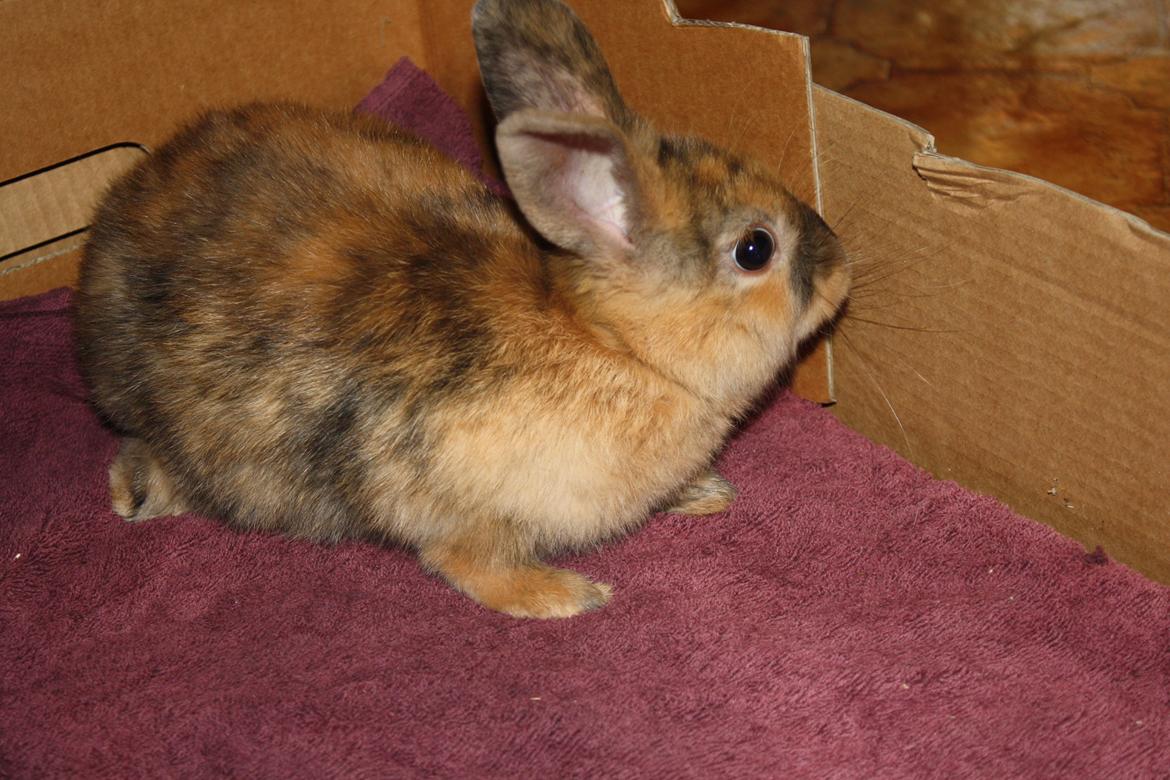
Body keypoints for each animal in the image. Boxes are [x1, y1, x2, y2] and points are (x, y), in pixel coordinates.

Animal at [74, 0, 851, 618]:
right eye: (755, 249)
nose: (842, 264)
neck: (617, 346)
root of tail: (107, 226)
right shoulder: (460, 511)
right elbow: (469, 565)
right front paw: (567, 597)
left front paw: (705, 492)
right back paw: (139, 495)